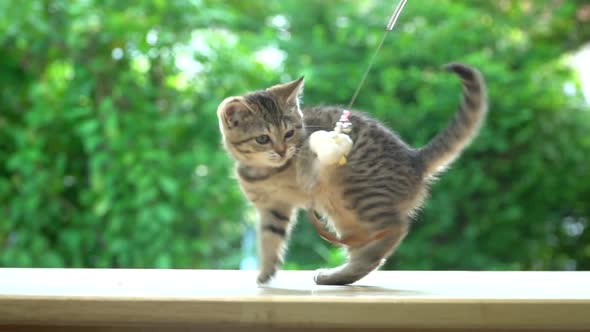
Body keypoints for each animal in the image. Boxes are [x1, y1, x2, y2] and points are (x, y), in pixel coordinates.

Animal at [217, 63, 490, 286]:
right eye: (263, 139)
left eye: (289, 133)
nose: (283, 151)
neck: (269, 172)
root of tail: (414, 159)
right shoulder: (273, 207)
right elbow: (269, 239)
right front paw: (265, 272)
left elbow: (310, 156)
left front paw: (305, 166)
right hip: (342, 212)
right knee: (366, 247)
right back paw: (338, 275)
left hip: (355, 193)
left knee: (395, 229)